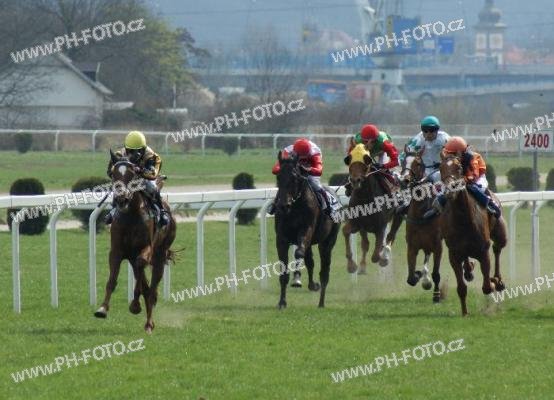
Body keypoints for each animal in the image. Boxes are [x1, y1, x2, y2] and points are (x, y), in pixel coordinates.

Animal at [94, 150, 177, 333]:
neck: (131, 215)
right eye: (114, 174)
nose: (121, 199)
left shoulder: (146, 249)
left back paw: (149, 323)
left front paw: (134, 305)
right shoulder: (117, 251)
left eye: (132, 174)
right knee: (145, 283)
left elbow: (142, 270)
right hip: (133, 256)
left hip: (160, 254)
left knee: (152, 288)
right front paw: (102, 308)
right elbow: (112, 280)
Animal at [274, 151, 340, 309]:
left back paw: (321, 301)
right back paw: (312, 285)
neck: (295, 206)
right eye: (278, 176)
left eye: (295, 178)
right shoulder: (281, 238)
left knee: (324, 271)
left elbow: (298, 253)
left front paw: (297, 278)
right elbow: (284, 273)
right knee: (310, 261)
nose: (283, 206)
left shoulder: (306, 230)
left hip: (327, 242)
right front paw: (282, 302)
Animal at [343, 144, 403, 274]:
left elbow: (375, 255)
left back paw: (384, 257)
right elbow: (346, 231)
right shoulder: (358, 224)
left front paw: (381, 257)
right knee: (366, 243)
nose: (355, 181)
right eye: (349, 159)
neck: (365, 199)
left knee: (391, 235)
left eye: (367, 160)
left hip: (399, 214)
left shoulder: (380, 226)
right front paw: (352, 265)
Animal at [400, 149, 443, 302]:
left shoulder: (437, 245)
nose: (404, 180)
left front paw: (436, 295)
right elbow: (411, 278)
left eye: (417, 163)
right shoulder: (412, 246)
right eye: (403, 161)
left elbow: (436, 274)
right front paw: (420, 275)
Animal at [439, 152, 507, 316]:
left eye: (459, 167)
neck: (464, 220)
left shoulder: (483, 251)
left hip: (501, 233)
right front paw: (464, 312)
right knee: (468, 260)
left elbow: (487, 287)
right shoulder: (454, 254)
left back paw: (498, 280)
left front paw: (493, 282)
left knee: (497, 248)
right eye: (440, 168)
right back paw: (469, 269)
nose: (450, 190)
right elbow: (461, 288)